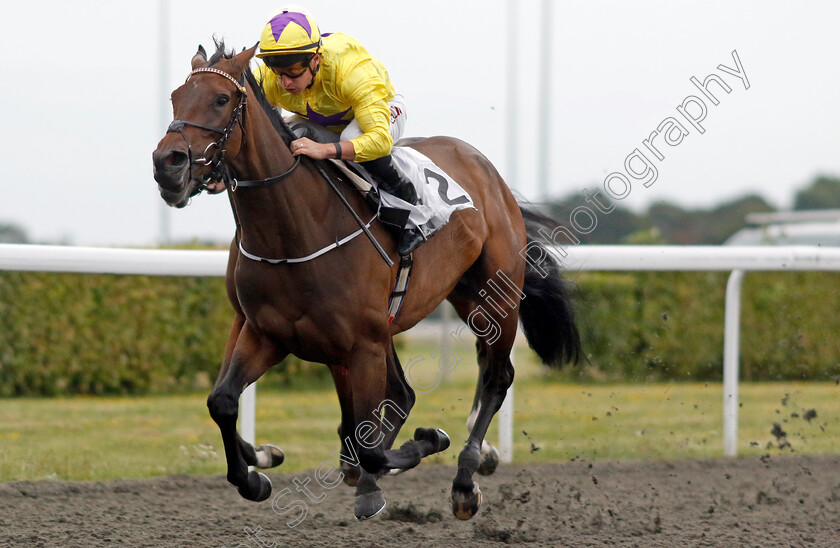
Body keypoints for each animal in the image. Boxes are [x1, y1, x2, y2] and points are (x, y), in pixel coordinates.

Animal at [151, 44, 580, 524]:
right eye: (175, 97)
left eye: (222, 99)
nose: (167, 164)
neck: (294, 231)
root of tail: (488, 172)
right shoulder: (265, 331)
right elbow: (223, 401)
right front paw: (255, 476)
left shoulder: (363, 342)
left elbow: (369, 440)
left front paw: (421, 446)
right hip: (437, 305)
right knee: (406, 395)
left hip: (494, 296)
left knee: (495, 375)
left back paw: (467, 478)